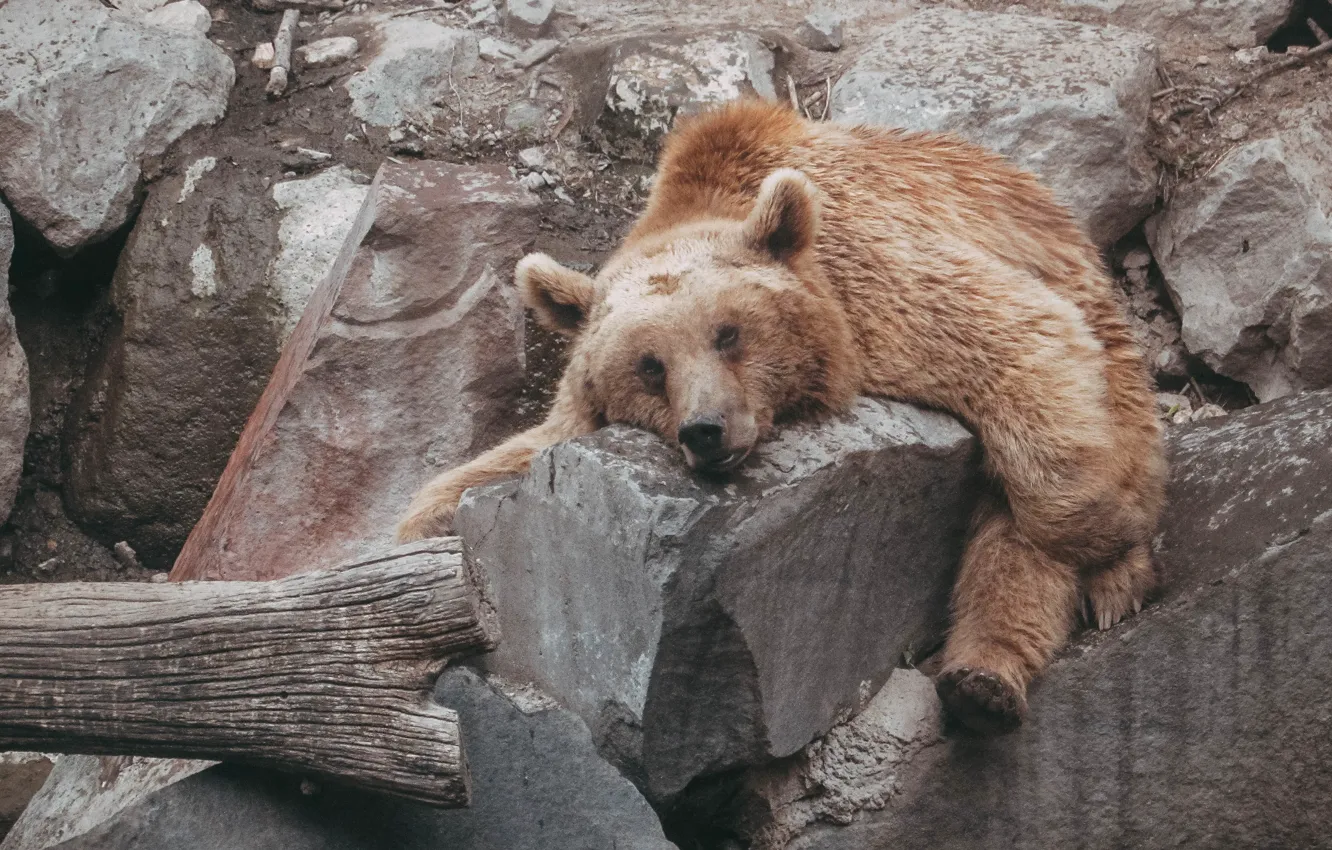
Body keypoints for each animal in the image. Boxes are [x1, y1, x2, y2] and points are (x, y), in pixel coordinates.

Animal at [397, 100, 1167, 734]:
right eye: (649, 365)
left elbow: (1018, 343)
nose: (706, 431)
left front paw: (1110, 550)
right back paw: (980, 682)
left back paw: (1011, 658)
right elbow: (502, 464)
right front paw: (423, 543)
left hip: (1097, 322)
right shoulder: (580, 415)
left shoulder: (883, 289)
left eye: (728, 332)